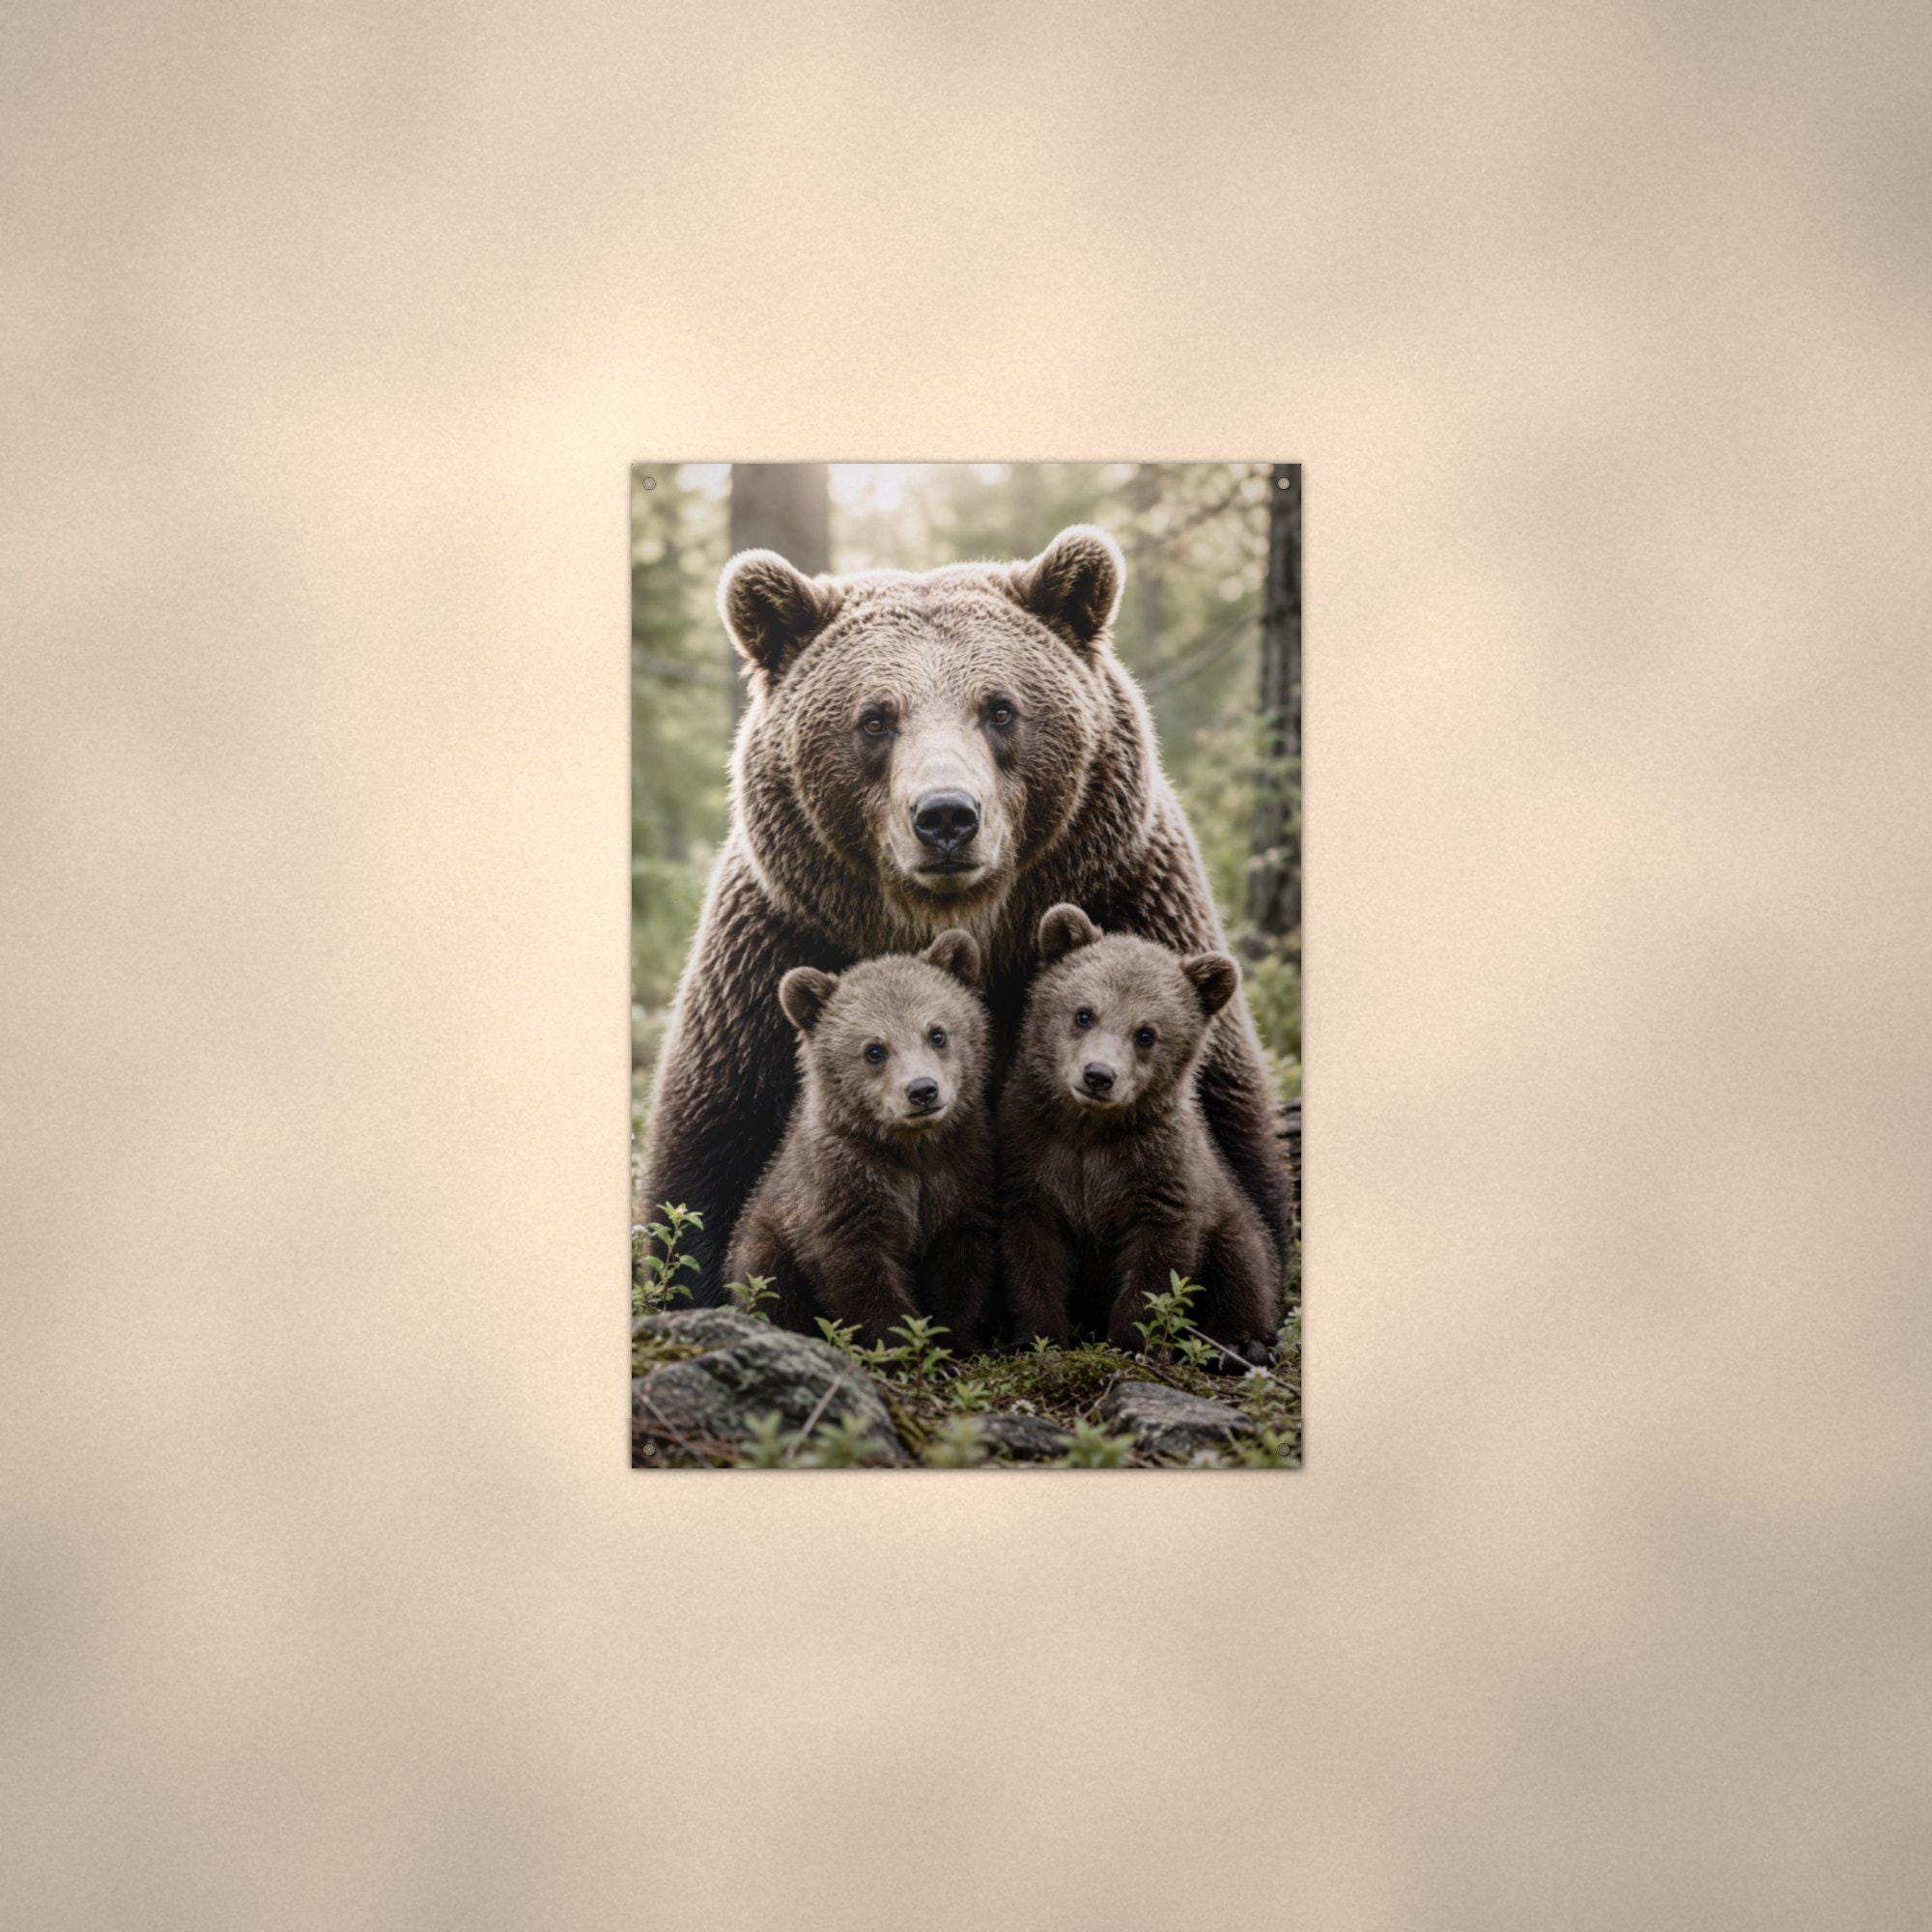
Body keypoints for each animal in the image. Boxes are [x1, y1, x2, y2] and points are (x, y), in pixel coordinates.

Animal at [723, 930, 996, 1350]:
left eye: (937, 1033)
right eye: (874, 1050)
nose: (922, 1090)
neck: (912, 1150)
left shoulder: (960, 1174)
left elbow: (962, 1264)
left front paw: (958, 1341)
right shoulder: (844, 1186)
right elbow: (859, 1272)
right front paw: (903, 1344)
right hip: (765, 1241)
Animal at [997, 904, 1280, 1366]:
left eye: (1146, 1033)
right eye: (1084, 1013)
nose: (1098, 1075)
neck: (1090, 1130)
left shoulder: (1158, 1170)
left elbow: (1158, 1263)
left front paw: (1133, 1343)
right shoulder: (1033, 1154)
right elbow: (1030, 1251)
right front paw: (1037, 1339)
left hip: (1228, 1215)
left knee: (1242, 1262)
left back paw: (1240, 1343)